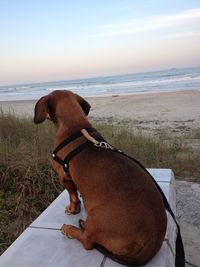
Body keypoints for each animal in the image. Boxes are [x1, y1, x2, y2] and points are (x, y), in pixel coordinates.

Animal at [33, 91, 166, 266]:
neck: (76, 127)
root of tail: (152, 243)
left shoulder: (64, 177)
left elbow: (73, 196)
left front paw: (73, 210)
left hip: (96, 216)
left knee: (88, 242)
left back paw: (71, 229)